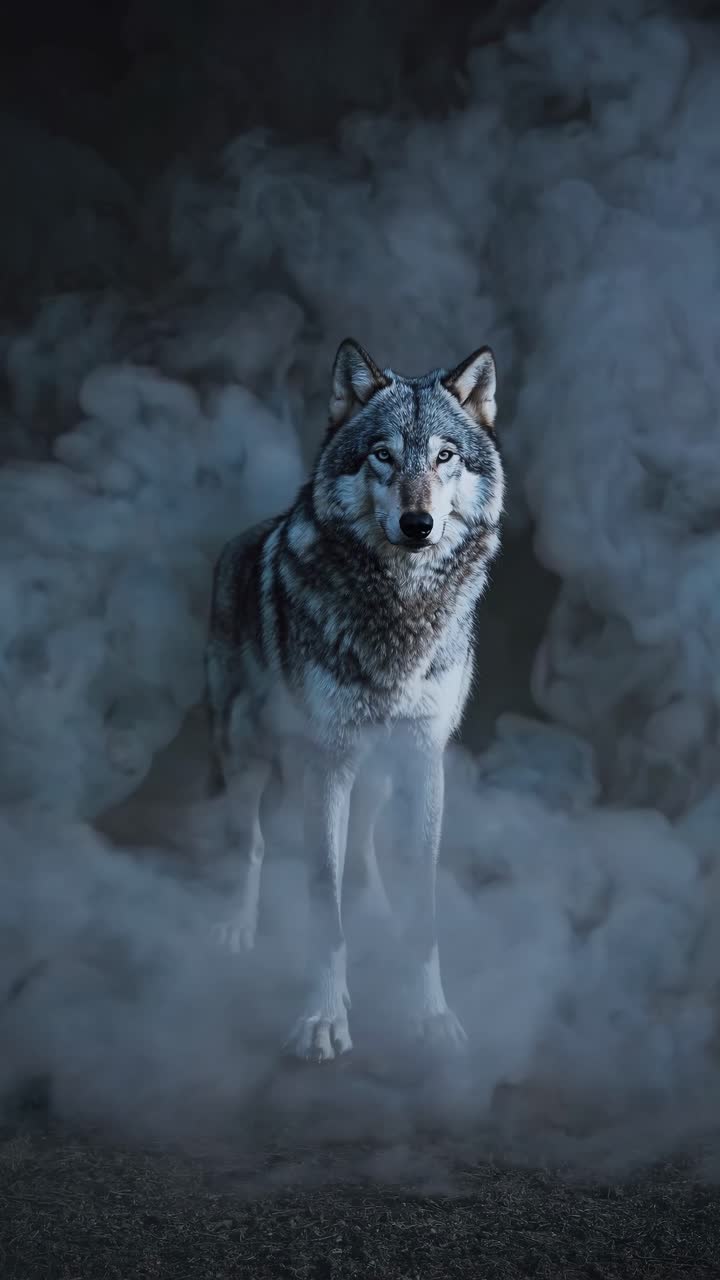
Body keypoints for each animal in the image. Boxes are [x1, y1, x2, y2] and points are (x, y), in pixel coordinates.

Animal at [205, 338, 505, 1062]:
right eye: (383, 455)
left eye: (444, 456)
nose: (418, 523)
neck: (401, 613)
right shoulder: (329, 760)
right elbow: (323, 900)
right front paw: (323, 1017)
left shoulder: (424, 762)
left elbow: (423, 906)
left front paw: (431, 1015)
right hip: (247, 744)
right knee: (251, 840)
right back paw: (237, 923)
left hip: (379, 770)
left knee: (364, 851)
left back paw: (378, 917)